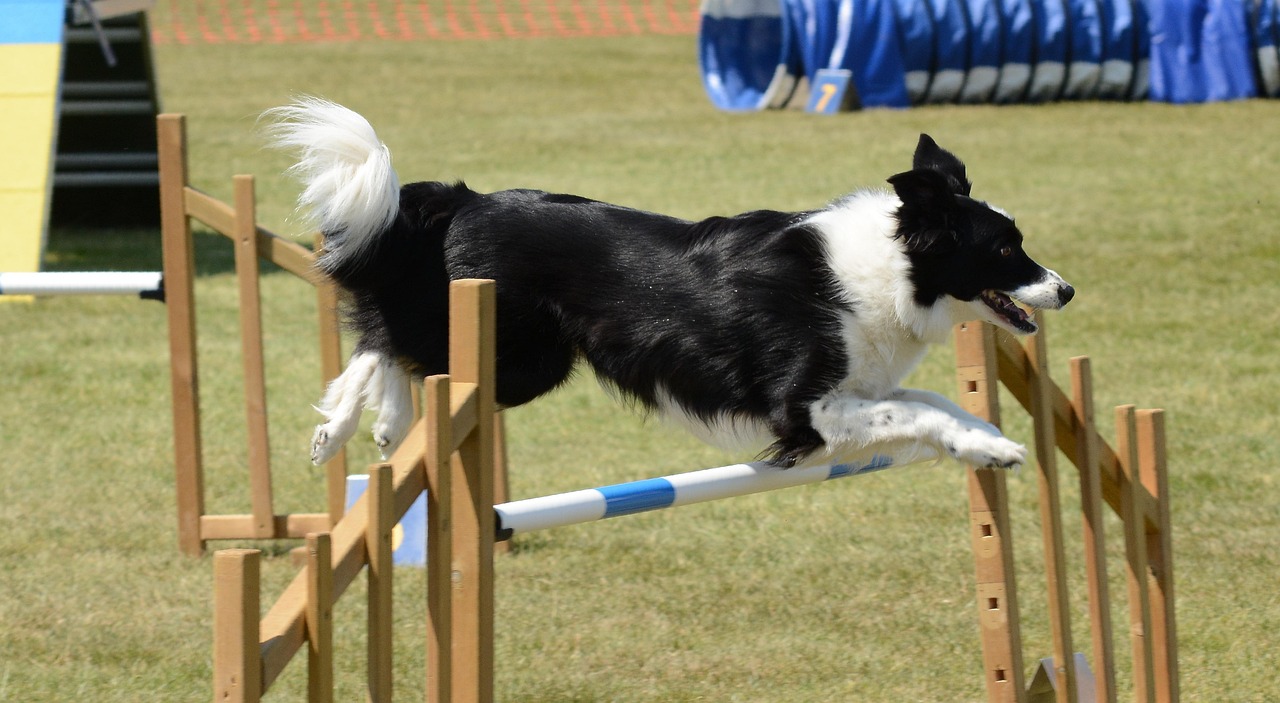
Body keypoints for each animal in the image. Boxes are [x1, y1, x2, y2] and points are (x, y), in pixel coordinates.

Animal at [270, 97, 1070, 471]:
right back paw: (345, 426)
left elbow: (933, 401)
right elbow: (918, 410)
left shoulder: (855, 392)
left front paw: (986, 442)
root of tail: (468, 198)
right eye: (1005, 248)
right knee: (387, 337)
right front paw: (996, 449)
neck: (891, 269)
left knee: (399, 348)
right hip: (519, 354)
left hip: (518, 361)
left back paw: (381, 423)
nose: (1064, 291)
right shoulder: (804, 408)